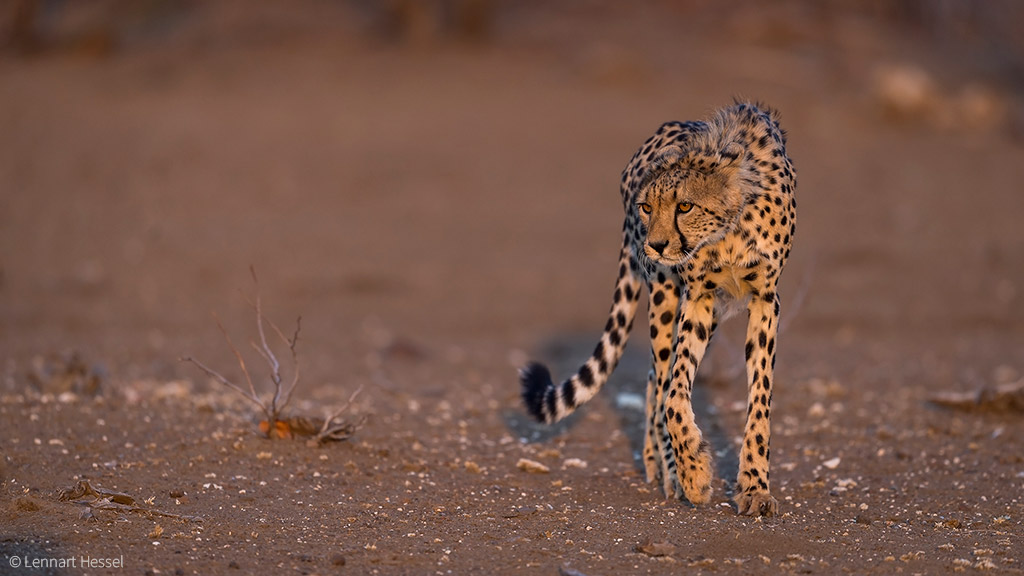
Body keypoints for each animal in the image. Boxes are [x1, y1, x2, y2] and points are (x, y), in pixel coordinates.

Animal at [524, 99, 794, 516]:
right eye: (647, 207)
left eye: (685, 206)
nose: (656, 245)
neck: (729, 227)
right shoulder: (696, 298)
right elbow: (675, 396)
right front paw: (695, 474)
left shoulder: (765, 300)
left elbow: (759, 401)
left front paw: (754, 487)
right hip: (666, 296)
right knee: (660, 376)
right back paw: (669, 471)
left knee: (656, 378)